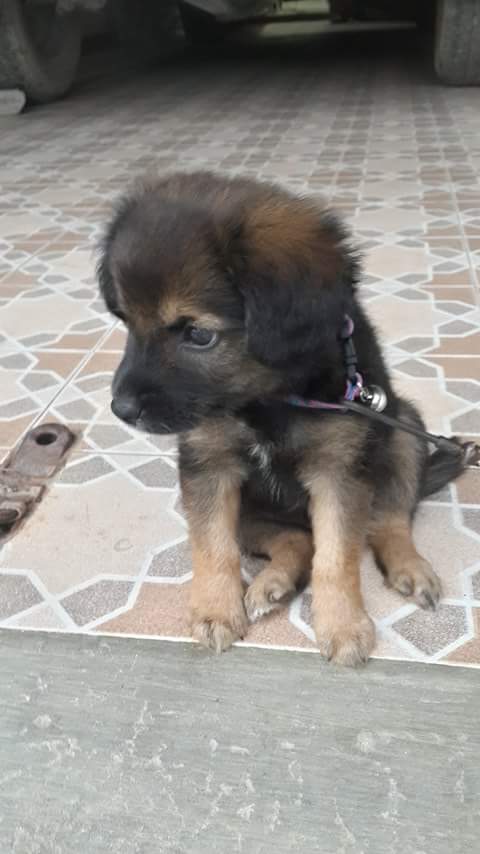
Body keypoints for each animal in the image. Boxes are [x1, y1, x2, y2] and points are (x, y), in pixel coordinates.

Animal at [98, 171, 467, 666]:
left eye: (198, 334)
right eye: (124, 322)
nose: (121, 409)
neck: (266, 399)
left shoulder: (339, 470)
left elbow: (337, 558)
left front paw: (343, 625)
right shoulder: (208, 467)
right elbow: (212, 546)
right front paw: (214, 610)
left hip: (401, 429)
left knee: (388, 520)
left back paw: (409, 566)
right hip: (252, 512)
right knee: (296, 541)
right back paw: (272, 584)